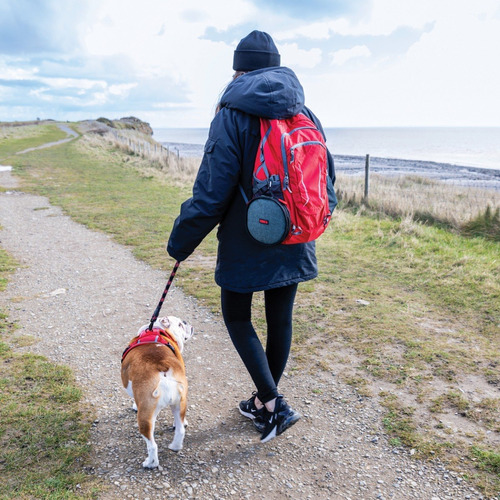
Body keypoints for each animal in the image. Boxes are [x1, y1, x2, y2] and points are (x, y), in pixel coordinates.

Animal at [120, 316, 194, 468]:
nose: (185, 322)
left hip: (145, 415)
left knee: (152, 444)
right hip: (180, 402)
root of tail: (162, 366)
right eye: (180, 324)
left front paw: (134, 406)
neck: (157, 330)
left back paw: (150, 463)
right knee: (180, 430)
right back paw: (175, 446)